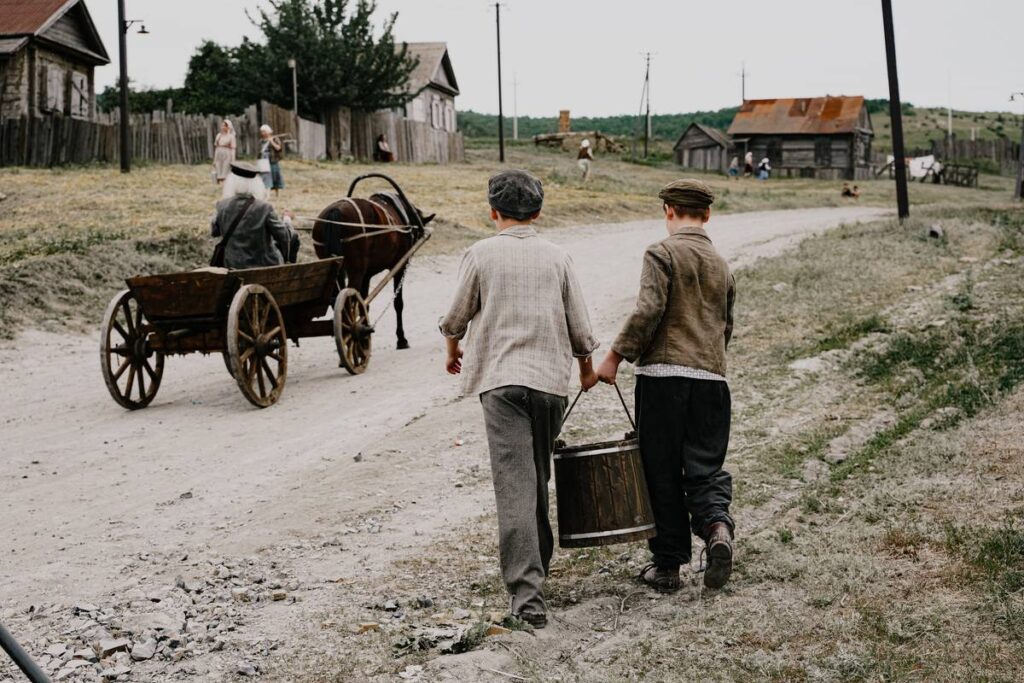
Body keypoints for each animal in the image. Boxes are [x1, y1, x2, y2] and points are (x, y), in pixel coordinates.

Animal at [309, 194, 434, 350]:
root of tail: (335, 211)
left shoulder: (366, 276)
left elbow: (364, 304)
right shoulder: (399, 266)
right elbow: (398, 303)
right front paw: (401, 339)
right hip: (355, 271)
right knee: (348, 303)